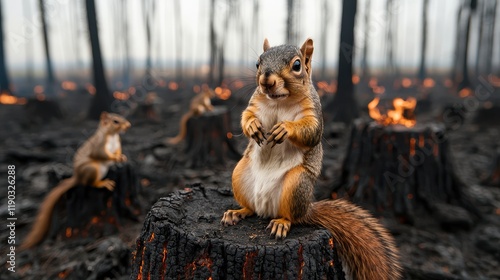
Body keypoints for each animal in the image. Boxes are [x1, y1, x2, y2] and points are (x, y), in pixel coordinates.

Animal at [21, 111, 131, 249]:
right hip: (92, 168)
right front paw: (115, 159)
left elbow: (117, 151)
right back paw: (102, 183)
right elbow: (102, 154)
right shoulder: (99, 145)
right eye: (115, 121)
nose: (128, 125)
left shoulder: (117, 145)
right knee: (88, 183)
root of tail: (77, 176)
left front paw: (121, 157)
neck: (112, 136)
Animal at [223, 38, 402, 278]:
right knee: (251, 209)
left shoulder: (313, 112)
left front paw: (285, 128)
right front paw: (252, 126)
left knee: (291, 216)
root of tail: (268, 209)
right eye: (257, 63)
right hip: (239, 173)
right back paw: (237, 212)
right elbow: (246, 116)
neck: (279, 100)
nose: (266, 81)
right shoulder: (255, 103)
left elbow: (311, 131)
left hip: (297, 184)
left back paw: (282, 223)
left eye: (297, 65)